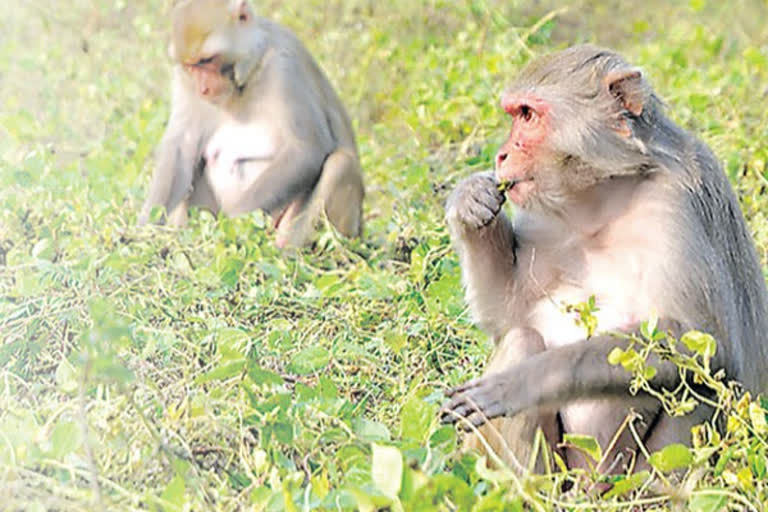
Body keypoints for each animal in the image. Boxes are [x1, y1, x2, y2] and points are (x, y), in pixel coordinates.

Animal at [139, 0, 366, 248]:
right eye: (191, 66)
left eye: (208, 60)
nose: (203, 89)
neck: (245, 80)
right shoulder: (183, 80)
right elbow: (181, 149)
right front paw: (143, 230)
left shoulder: (284, 65)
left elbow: (306, 149)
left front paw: (230, 226)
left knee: (340, 163)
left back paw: (286, 252)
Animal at [440, 46, 768, 474]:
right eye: (515, 114)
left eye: (527, 115)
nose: (501, 154)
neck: (602, 197)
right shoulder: (543, 216)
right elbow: (508, 317)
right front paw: (470, 200)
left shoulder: (677, 201)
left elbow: (703, 344)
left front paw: (524, 381)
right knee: (522, 339)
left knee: (699, 386)